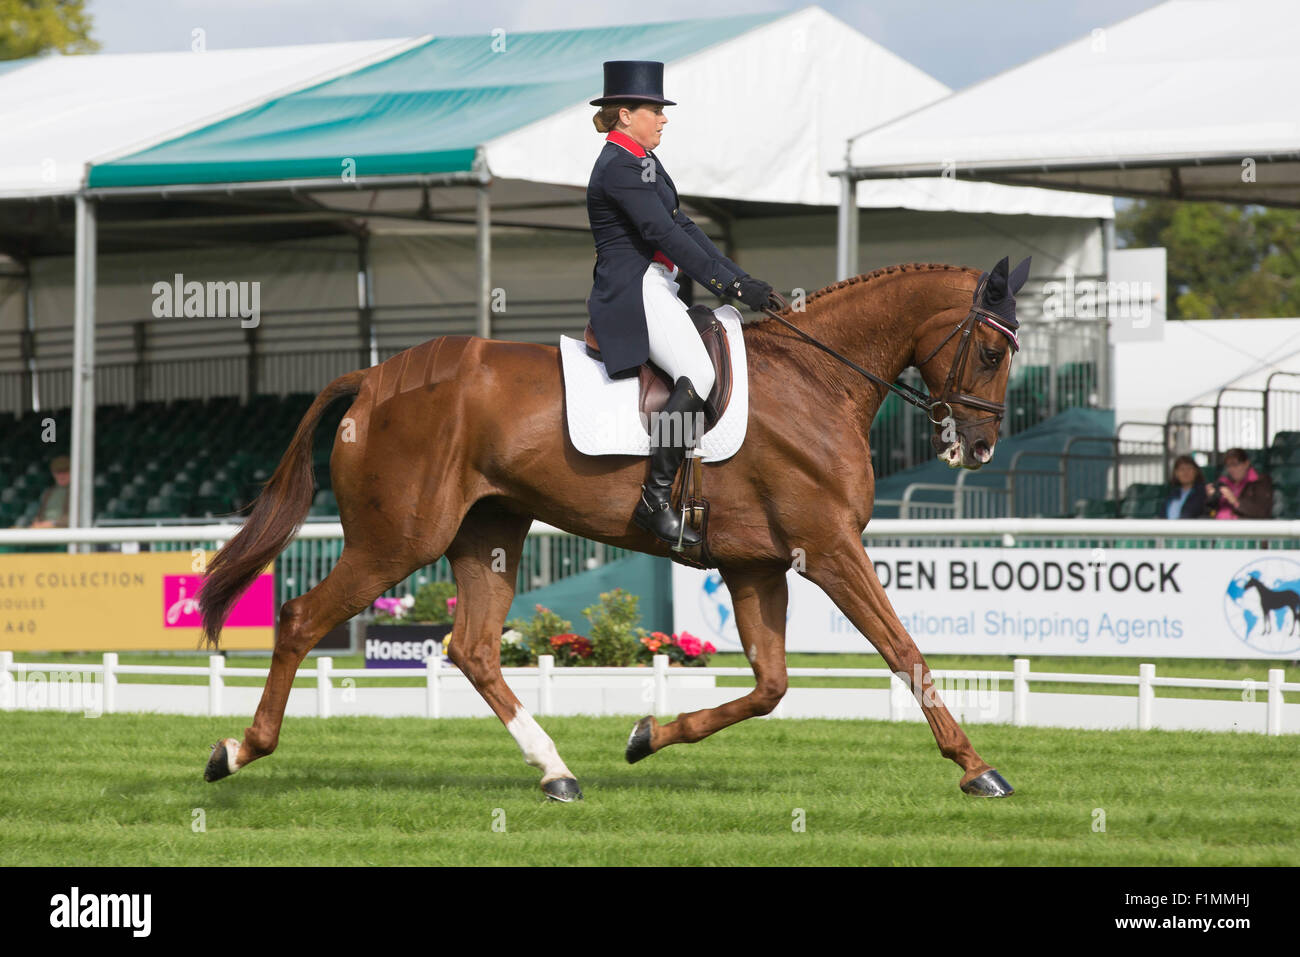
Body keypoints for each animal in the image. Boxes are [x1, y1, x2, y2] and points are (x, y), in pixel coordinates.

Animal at [199, 259, 1027, 802]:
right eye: (990, 351)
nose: (982, 448)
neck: (816, 381)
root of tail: (373, 378)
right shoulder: (828, 549)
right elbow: (906, 652)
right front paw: (977, 766)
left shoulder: (757, 565)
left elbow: (771, 685)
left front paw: (647, 735)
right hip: (396, 541)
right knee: (301, 617)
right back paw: (237, 751)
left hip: (489, 532)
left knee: (472, 648)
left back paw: (557, 771)